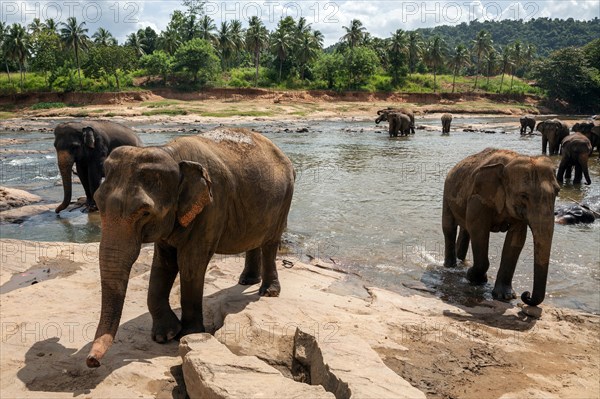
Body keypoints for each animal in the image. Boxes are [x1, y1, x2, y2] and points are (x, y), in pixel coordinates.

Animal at [85, 127, 296, 368]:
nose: (92, 362)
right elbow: (163, 263)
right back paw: (247, 281)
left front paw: (189, 334)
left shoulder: (212, 206)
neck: (171, 153)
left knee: (270, 242)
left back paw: (268, 292)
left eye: (145, 212)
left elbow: (190, 263)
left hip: (285, 198)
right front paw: (164, 335)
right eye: (98, 204)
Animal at [440, 148, 564, 308]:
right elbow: (479, 231)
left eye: (557, 192)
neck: (509, 163)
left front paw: (505, 296)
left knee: (465, 229)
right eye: (523, 195)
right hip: (447, 191)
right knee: (449, 228)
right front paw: (474, 277)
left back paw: (462, 261)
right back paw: (451, 266)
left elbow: (516, 239)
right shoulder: (478, 198)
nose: (526, 295)